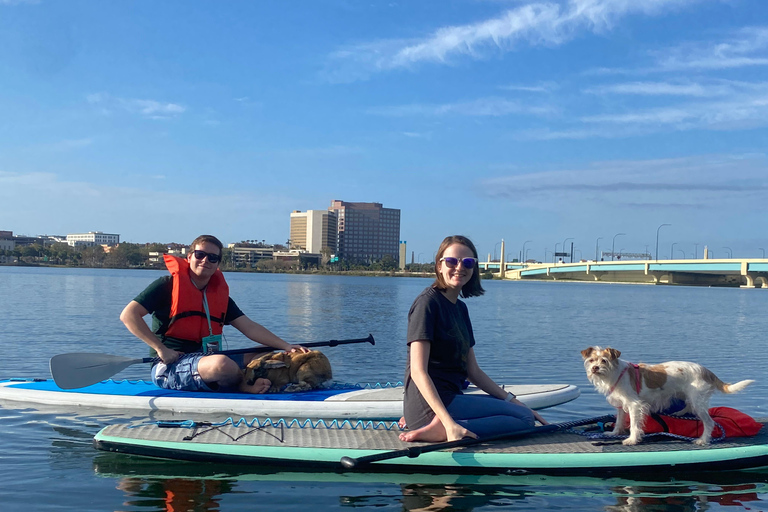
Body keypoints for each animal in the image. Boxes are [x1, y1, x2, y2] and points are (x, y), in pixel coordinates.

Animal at [584, 346, 752, 446]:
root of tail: (706, 370)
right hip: (687, 396)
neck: (615, 373)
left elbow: (634, 425)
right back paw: (680, 413)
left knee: (709, 423)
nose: (594, 368)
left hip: (698, 402)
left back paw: (702, 440)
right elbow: (619, 421)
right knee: (689, 406)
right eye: (591, 360)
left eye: (604, 361)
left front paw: (632, 439)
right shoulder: (621, 405)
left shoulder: (634, 405)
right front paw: (614, 433)